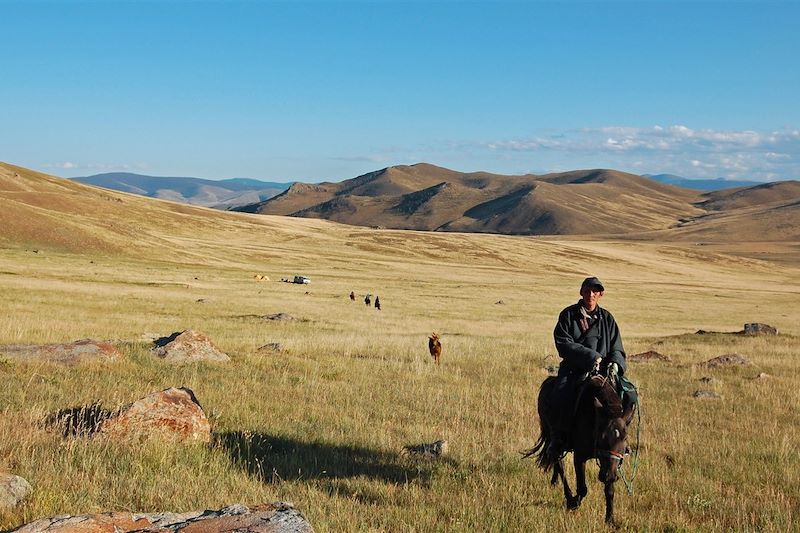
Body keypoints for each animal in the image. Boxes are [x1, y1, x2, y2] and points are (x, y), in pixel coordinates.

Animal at [524, 374, 636, 524]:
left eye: (625, 437)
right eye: (602, 435)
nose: (608, 476)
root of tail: (548, 382)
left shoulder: (610, 464)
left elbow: (609, 491)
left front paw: (610, 519)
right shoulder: (580, 457)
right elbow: (582, 488)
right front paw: (573, 503)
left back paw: (554, 481)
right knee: (559, 463)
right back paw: (568, 495)